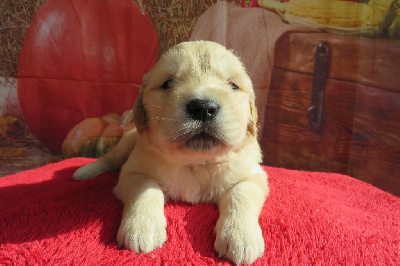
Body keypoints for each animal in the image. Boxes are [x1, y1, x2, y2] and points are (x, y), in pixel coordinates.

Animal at [74, 40, 270, 264]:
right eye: (167, 83)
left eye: (233, 85)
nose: (203, 107)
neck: (196, 162)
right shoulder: (132, 172)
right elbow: (146, 187)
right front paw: (141, 228)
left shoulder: (253, 175)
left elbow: (241, 193)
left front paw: (241, 237)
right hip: (125, 145)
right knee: (108, 159)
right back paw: (85, 171)